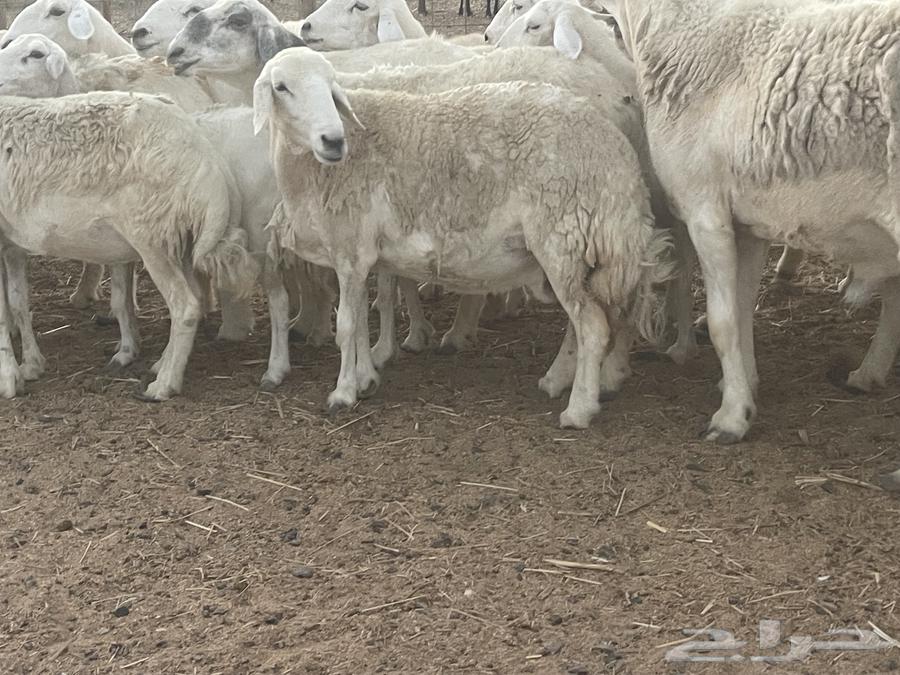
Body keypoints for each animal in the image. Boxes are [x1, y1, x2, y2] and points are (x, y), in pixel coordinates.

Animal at [0, 90, 257, 400]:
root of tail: (210, 165)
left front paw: (8, 380)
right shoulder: (12, 245)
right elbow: (17, 303)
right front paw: (30, 366)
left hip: (152, 237)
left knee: (185, 306)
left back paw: (164, 385)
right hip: (178, 238)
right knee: (194, 297)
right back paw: (162, 364)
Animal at [254, 47, 671, 428]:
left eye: (331, 86)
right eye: (281, 86)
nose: (333, 141)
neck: (313, 171)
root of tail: (623, 163)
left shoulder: (349, 249)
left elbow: (346, 326)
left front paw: (343, 393)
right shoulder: (360, 255)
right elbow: (360, 320)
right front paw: (366, 377)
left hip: (563, 239)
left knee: (593, 327)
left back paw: (579, 409)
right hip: (578, 251)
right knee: (582, 323)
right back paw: (556, 380)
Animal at [605, 0, 900, 442]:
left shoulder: (705, 211)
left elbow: (723, 322)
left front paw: (731, 418)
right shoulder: (749, 224)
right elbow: (743, 310)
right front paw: (743, 386)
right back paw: (867, 374)